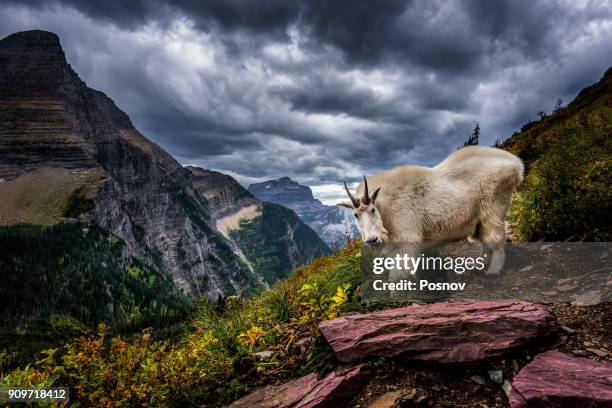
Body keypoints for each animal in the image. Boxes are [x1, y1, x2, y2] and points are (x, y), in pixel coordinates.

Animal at [338, 145, 524, 276]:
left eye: (372, 210)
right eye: (355, 215)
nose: (372, 239)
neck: (386, 206)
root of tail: (515, 164)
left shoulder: (407, 237)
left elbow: (399, 272)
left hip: (493, 209)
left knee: (496, 237)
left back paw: (493, 271)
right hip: (479, 219)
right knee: (484, 240)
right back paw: (479, 265)